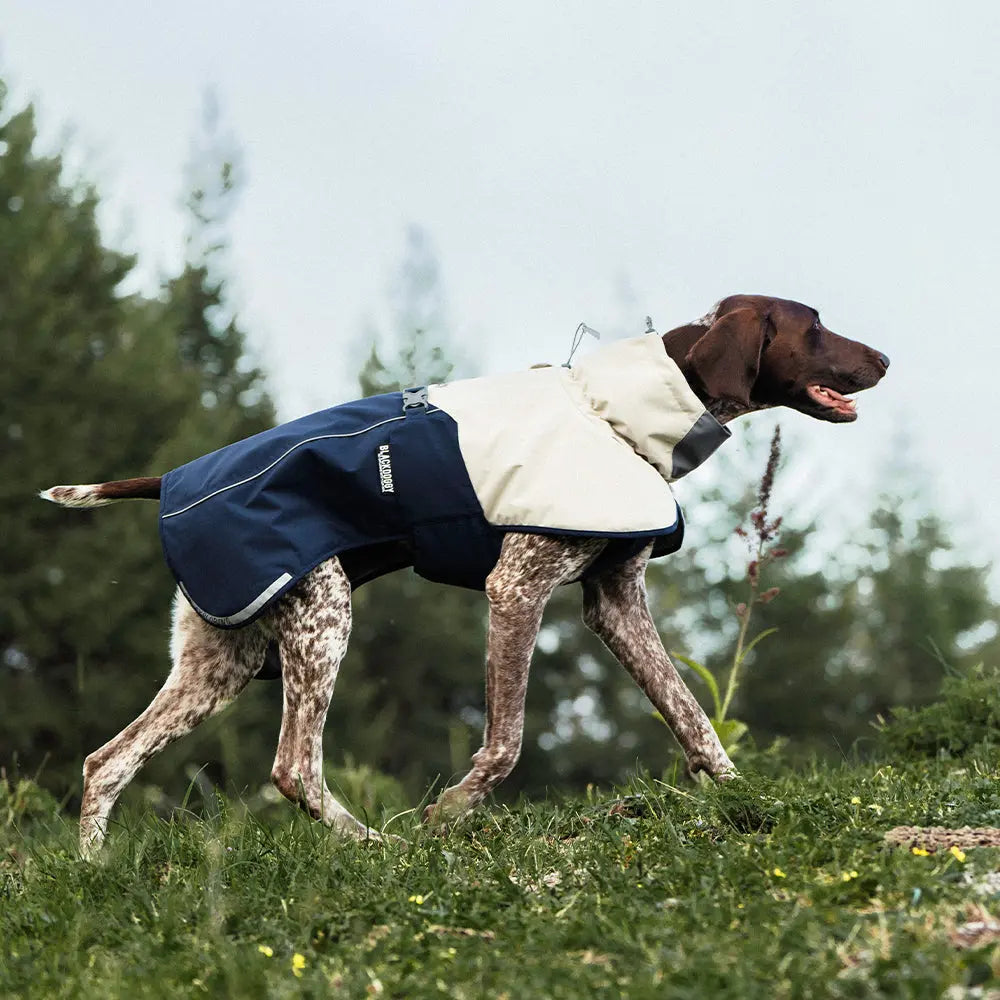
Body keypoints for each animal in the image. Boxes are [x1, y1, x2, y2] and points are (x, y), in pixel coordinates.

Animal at [41, 292, 892, 856]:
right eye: (815, 326)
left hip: (222, 660)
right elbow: (506, 743)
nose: (886, 357)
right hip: (322, 622)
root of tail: (173, 480)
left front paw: (743, 795)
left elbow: (692, 718)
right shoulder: (517, 588)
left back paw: (95, 871)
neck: (615, 410)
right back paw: (372, 845)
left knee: (106, 762)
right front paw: (449, 813)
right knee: (293, 767)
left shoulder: (616, 602)